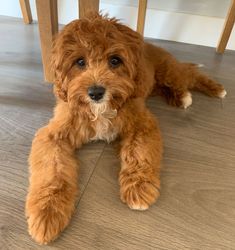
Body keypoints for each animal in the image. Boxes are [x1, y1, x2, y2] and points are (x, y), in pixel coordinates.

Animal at [25, 12, 226, 244]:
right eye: (80, 62)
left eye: (115, 60)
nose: (96, 92)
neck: (101, 110)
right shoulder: (53, 135)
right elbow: (52, 170)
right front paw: (47, 212)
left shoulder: (142, 124)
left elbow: (139, 154)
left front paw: (138, 187)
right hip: (154, 84)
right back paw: (181, 97)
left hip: (168, 72)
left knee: (189, 74)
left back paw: (212, 89)